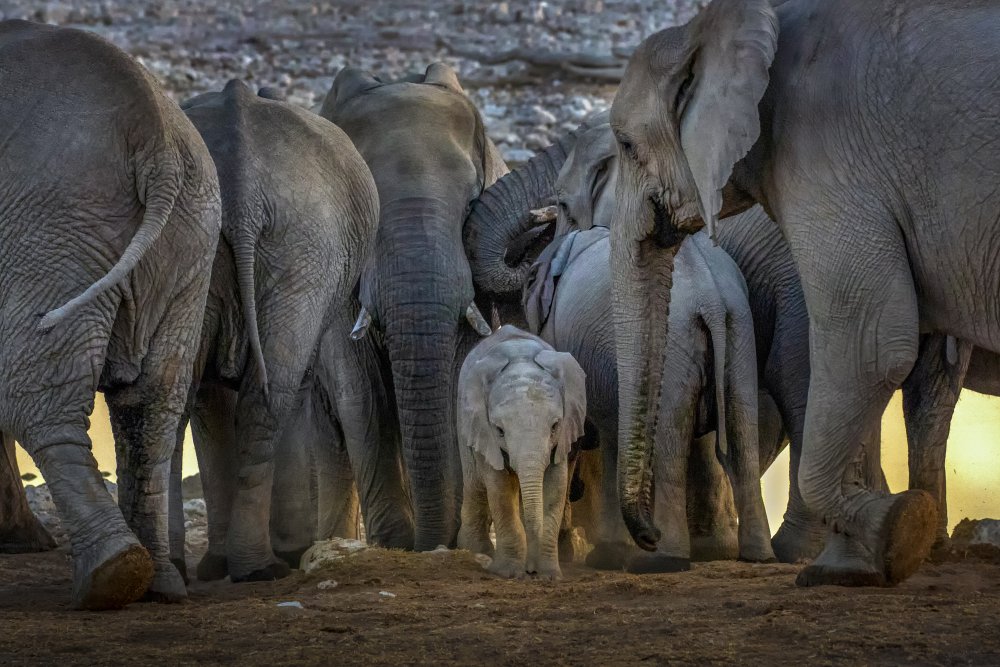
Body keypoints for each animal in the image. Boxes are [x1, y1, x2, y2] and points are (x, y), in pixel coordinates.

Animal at [0, 21, 221, 608]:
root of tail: (158, 144)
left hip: (51, 227)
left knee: (38, 397)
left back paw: (108, 579)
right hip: (192, 237)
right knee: (155, 401)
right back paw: (159, 584)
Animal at [176, 79, 385, 583]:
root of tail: (242, 185)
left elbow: (211, 402)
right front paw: (292, 550)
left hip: (264, 242)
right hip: (304, 245)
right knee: (271, 397)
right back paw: (262, 567)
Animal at [457, 325, 587, 580]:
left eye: (555, 426)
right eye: (499, 430)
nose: (531, 570)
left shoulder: (562, 439)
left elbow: (555, 487)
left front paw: (550, 576)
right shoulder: (486, 435)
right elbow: (499, 489)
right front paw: (507, 573)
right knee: (476, 486)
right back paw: (476, 552)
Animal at [523, 225, 773, 570]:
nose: (578, 490)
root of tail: (710, 296)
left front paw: (603, 555)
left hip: (673, 343)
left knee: (670, 446)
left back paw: (663, 559)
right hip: (739, 333)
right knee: (740, 438)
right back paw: (758, 556)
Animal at [606, 0, 1000, 587]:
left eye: (628, 147)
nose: (647, 536)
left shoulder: (827, 159)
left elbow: (869, 341)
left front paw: (897, 533)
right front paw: (857, 565)